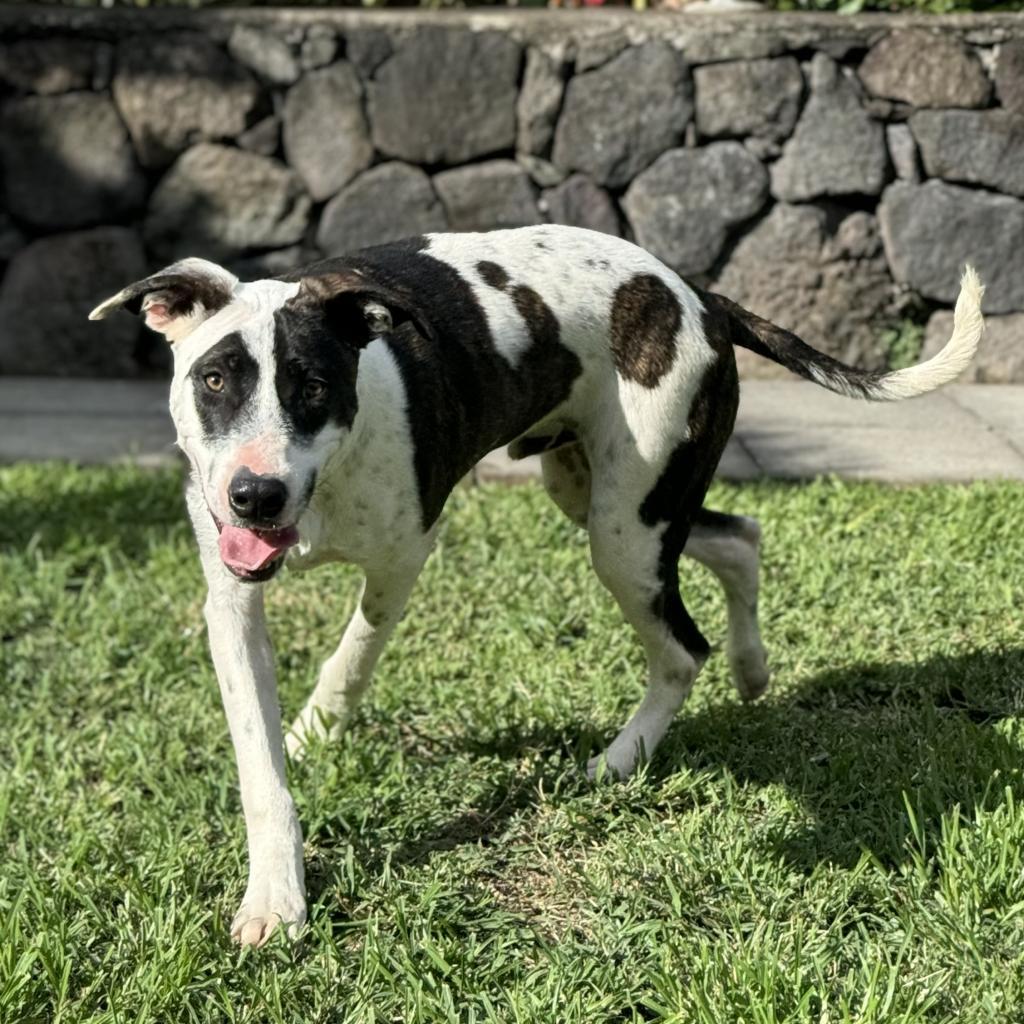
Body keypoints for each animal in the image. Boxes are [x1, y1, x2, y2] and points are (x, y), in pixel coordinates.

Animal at [92, 224, 987, 942]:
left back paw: (622, 759)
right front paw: (278, 884)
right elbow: (262, 769)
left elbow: (355, 652)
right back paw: (753, 667)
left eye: (312, 385)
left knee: (680, 648)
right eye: (215, 380)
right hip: (601, 495)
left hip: (624, 535)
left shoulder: (401, 559)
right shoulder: (232, 599)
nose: (257, 494)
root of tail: (697, 295)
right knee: (739, 539)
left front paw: (321, 726)